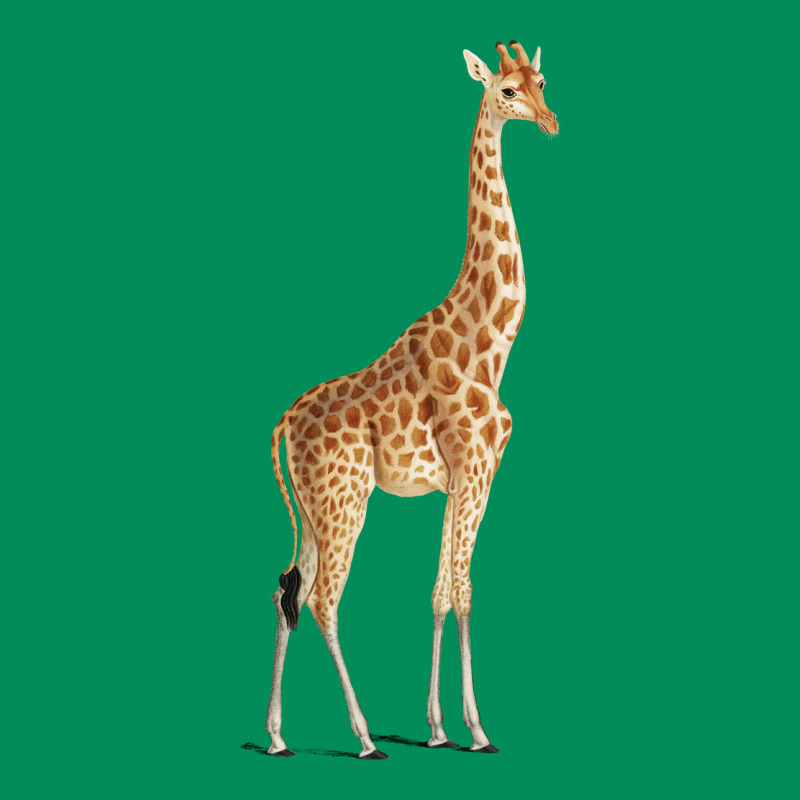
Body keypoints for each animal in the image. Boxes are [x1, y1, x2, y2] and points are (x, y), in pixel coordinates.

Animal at [264, 41, 558, 759]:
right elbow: (465, 588)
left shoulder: (464, 478)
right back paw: (365, 737)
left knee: (288, 588)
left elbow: (440, 591)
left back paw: (279, 736)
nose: (550, 122)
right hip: (345, 500)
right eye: (507, 91)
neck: (490, 344)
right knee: (323, 599)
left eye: (543, 81)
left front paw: (438, 727)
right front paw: (477, 730)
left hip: (315, 508)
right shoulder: (476, 470)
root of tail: (285, 422)